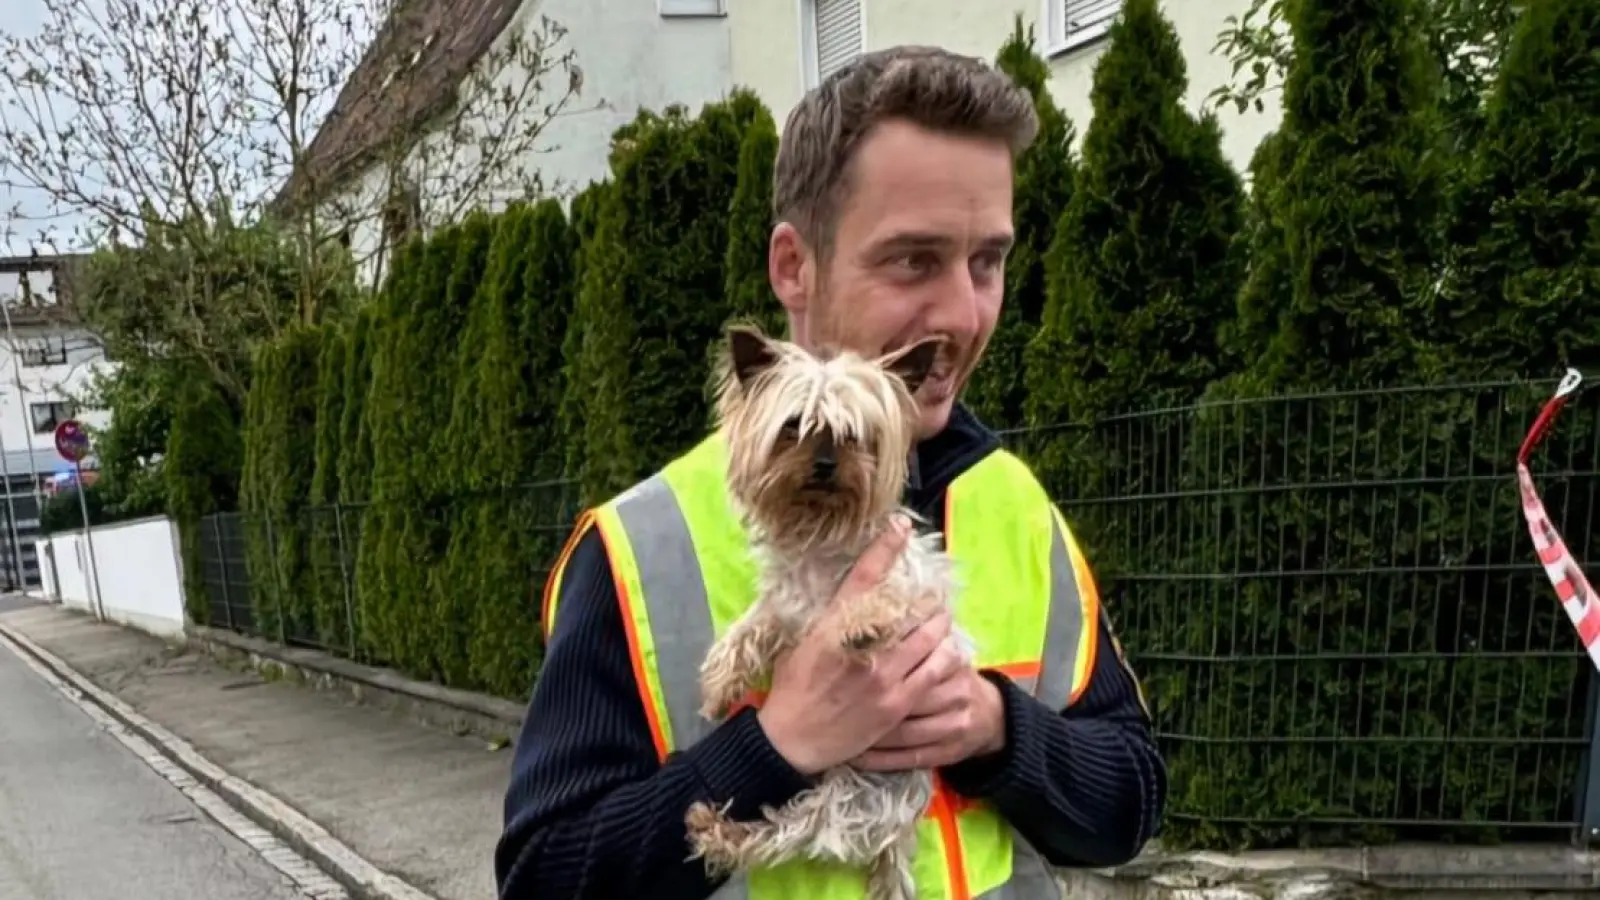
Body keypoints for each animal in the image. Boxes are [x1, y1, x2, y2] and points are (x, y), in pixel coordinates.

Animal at [681, 325, 966, 896]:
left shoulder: (911, 596)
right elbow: (749, 628)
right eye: (794, 427)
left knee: (790, 832)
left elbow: (884, 600)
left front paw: (858, 623)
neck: (821, 539)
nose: (828, 466)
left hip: (850, 802)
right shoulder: (786, 609)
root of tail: (897, 837)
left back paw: (721, 832)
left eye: (857, 436)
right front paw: (719, 686)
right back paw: (714, 830)